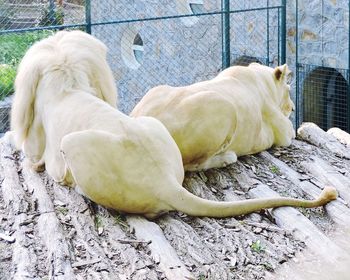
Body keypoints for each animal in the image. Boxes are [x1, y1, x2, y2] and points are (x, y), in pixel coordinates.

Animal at [133, 63, 296, 172]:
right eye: (288, 90)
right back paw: (228, 158)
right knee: (191, 165)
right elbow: (291, 132)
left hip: (157, 89)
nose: (293, 108)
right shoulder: (283, 132)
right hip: (225, 107)